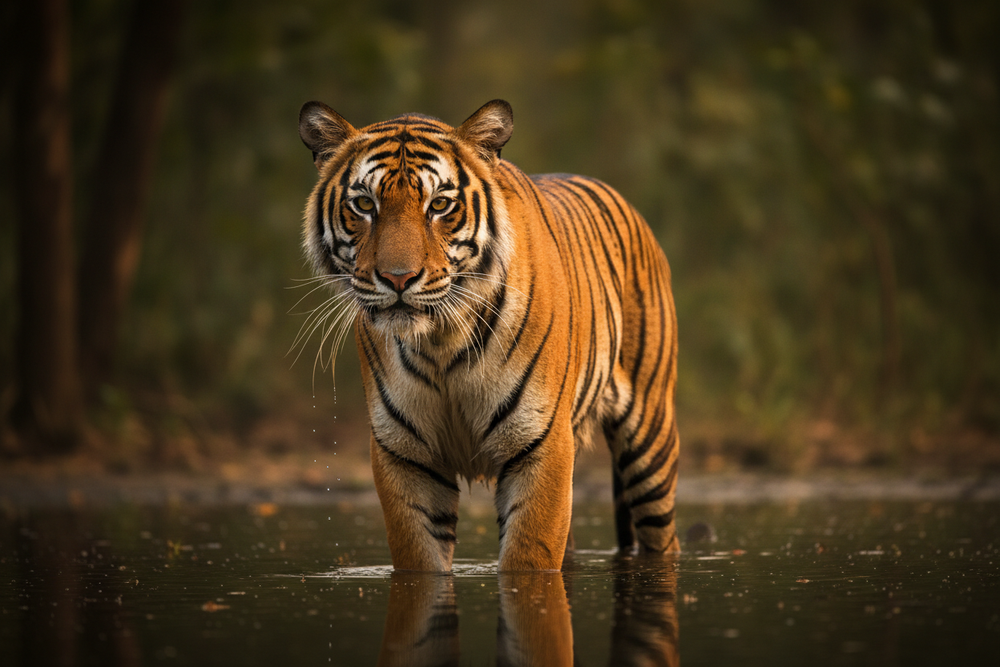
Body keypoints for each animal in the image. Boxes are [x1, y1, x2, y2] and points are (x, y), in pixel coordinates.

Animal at [298, 99, 679, 572]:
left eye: (440, 204)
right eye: (365, 204)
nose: (398, 278)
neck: (439, 342)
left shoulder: (542, 445)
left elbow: (529, 561)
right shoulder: (404, 455)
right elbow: (420, 562)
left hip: (650, 437)